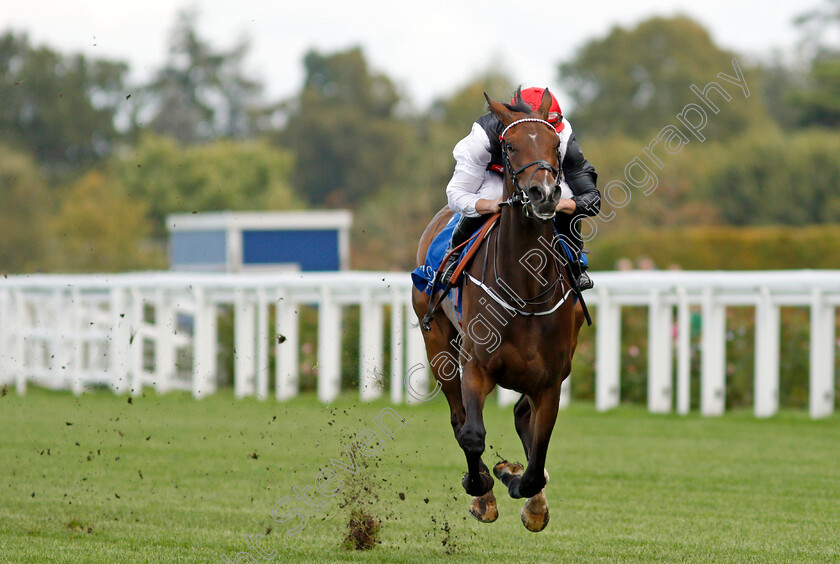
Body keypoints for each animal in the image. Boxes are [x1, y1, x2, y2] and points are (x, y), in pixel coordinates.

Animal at [412, 89, 584, 532]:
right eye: (508, 146)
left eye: (555, 144)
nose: (545, 193)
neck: (525, 288)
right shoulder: (475, 365)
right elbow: (471, 434)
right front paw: (483, 488)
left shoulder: (550, 380)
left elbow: (537, 460)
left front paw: (520, 485)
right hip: (437, 343)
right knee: (459, 420)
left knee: (523, 417)